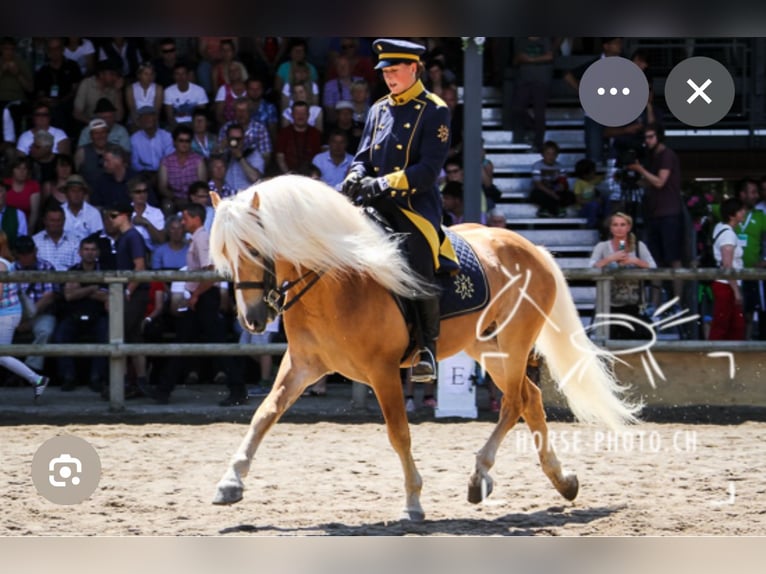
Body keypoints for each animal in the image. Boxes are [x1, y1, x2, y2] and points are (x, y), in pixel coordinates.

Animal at [208, 174, 640, 521]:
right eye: (226, 253)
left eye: (254, 247)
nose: (252, 320)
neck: (337, 279)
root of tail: (533, 249)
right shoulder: (301, 365)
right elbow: (265, 414)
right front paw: (230, 482)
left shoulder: (382, 371)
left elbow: (399, 433)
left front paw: (413, 502)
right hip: (488, 348)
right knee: (530, 398)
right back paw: (562, 480)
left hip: (513, 344)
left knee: (516, 401)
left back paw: (481, 475)